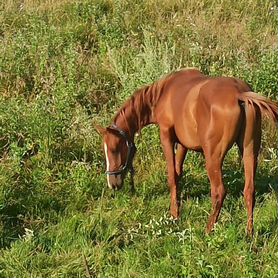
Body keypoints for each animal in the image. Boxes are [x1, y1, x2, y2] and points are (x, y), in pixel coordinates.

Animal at [96, 69, 278, 235]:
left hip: (213, 158)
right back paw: (249, 233)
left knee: (219, 191)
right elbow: (178, 174)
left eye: (113, 149)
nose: (112, 183)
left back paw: (208, 230)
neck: (162, 93)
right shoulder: (183, 144)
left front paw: (174, 215)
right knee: (249, 190)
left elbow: (171, 176)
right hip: (250, 151)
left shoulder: (166, 137)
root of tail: (239, 94)